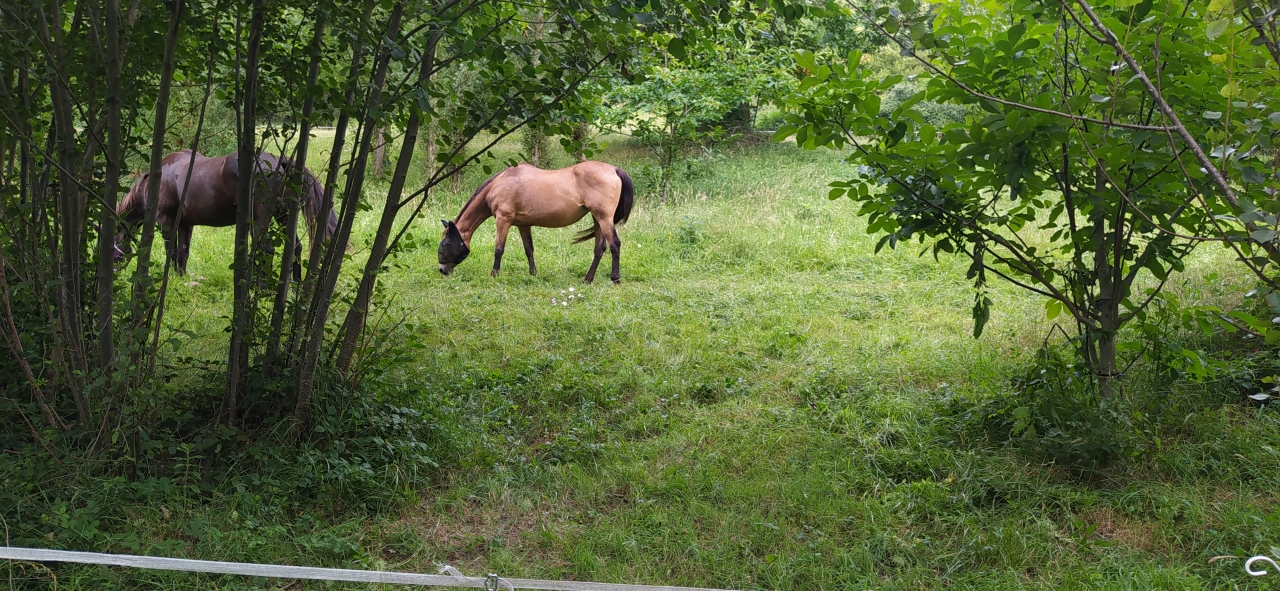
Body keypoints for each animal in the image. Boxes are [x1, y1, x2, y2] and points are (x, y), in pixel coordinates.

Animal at [115, 150, 336, 279]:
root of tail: (277, 161)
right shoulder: (186, 224)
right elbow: (182, 253)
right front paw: (181, 279)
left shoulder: (166, 223)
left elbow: (172, 252)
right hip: (283, 215)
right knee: (295, 247)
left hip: (260, 218)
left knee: (266, 249)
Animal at [437, 161, 634, 283]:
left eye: (445, 244)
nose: (442, 270)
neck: (501, 183)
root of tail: (614, 169)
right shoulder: (524, 225)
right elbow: (529, 250)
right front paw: (533, 274)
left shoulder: (503, 219)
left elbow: (499, 249)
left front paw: (494, 274)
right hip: (597, 218)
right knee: (599, 248)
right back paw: (587, 279)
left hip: (604, 218)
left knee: (614, 244)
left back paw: (615, 278)